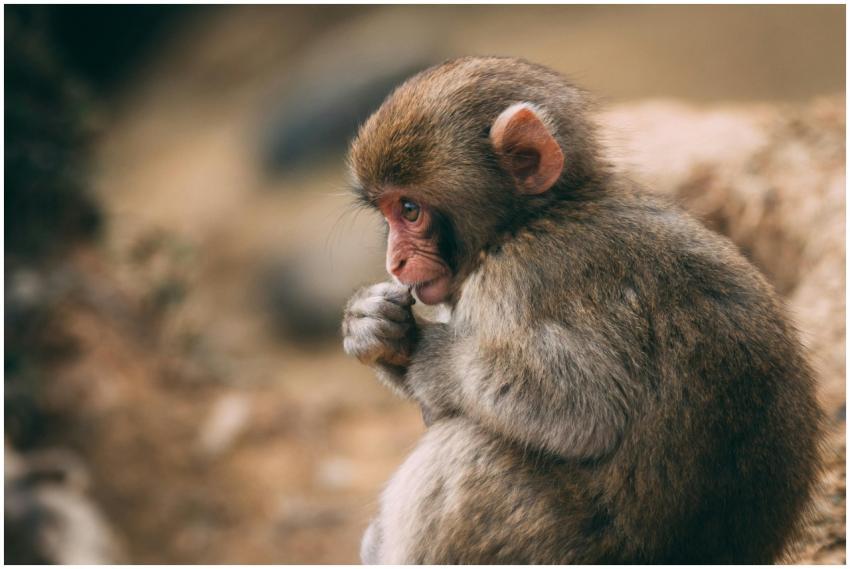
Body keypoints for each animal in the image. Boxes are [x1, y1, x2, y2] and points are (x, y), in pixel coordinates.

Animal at [341, 56, 824, 564]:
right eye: (388, 213)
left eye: (410, 209)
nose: (395, 261)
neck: (530, 220)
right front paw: (372, 327)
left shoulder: (522, 277)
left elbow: (584, 408)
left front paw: (426, 354)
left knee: (466, 450)